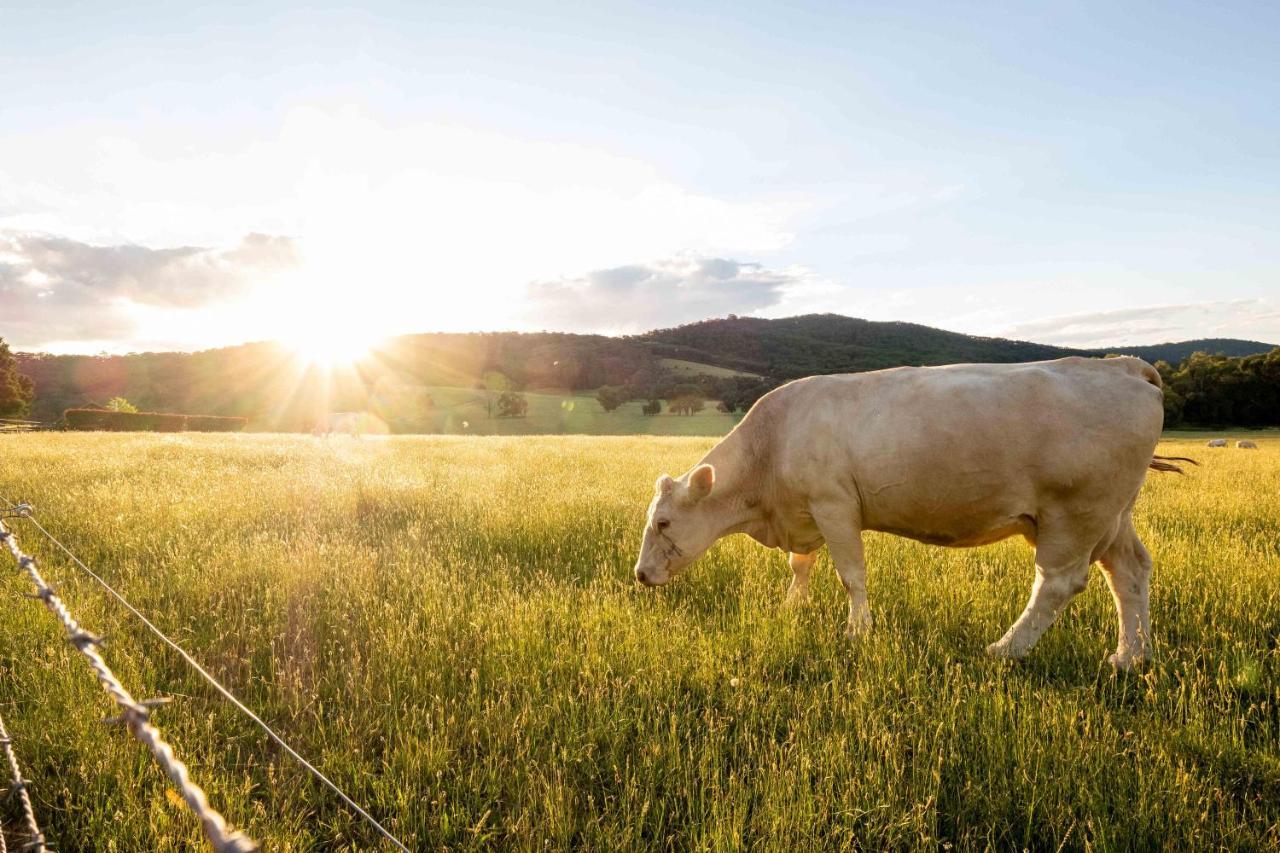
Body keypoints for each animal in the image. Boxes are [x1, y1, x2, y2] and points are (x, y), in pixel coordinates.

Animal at [634, 356, 1192, 666]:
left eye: (663, 523)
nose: (639, 574)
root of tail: (1120, 364)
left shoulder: (834, 504)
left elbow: (851, 575)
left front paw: (857, 631)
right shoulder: (804, 515)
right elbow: (801, 565)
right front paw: (794, 606)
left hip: (1076, 513)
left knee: (1058, 583)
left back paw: (1006, 649)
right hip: (1114, 515)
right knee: (1130, 572)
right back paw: (1130, 656)